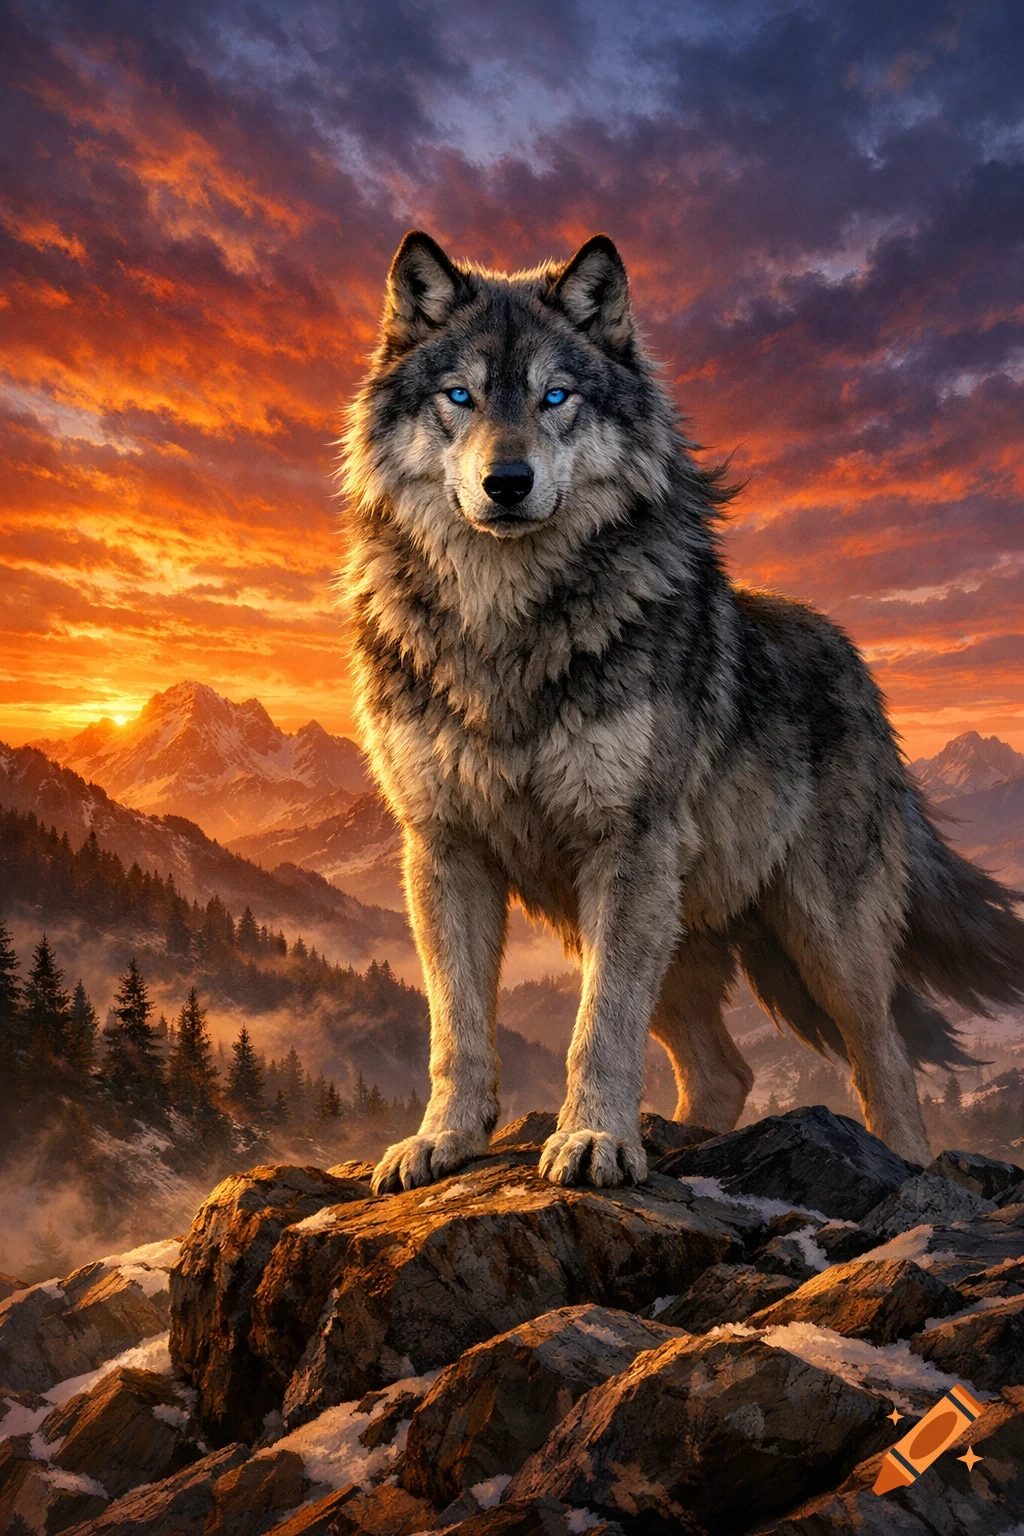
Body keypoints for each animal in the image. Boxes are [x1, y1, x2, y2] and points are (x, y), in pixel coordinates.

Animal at [341, 230, 1024, 1192]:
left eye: (556, 396)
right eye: (460, 397)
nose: (506, 481)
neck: (503, 627)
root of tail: (859, 665)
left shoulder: (626, 844)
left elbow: (599, 1029)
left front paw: (593, 1139)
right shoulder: (444, 846)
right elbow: (456, 1026)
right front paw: (443, 1138)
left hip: (818, 939)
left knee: (883, 1060)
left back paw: (896, 1166)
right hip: (664, 929)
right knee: (724, 1071)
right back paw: (680, 1143)